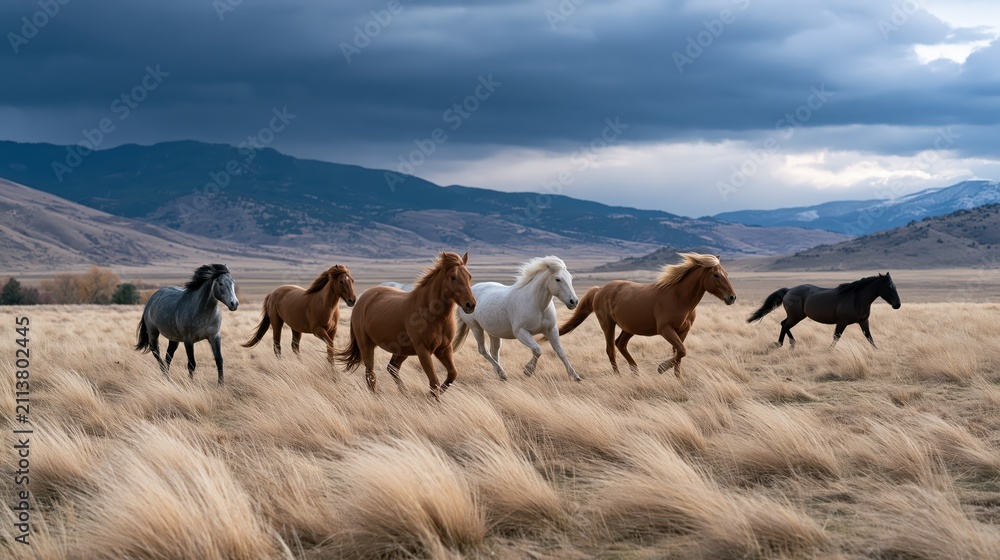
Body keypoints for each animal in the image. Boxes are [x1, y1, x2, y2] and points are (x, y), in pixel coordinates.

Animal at [337, 252, 477, 398]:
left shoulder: (444, 349)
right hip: (367, 345)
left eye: (469, 276)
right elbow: (434, 381)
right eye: (453, 277)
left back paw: (404, 392)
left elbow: (452, 374)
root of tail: (362, 299)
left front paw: (433, 396)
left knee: (392, 367)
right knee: (371, 374)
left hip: (403, 350)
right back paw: (376, 397)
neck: (431, 313)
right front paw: (433, 398)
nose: (470, 304)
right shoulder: (423, 350)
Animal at [453, 256, 582, 382]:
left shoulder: (551, 330)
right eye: (558, 279)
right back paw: (502, 373)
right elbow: (537, 350)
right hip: (476, 327)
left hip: (493, 332)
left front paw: (575, 376)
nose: (574, 301)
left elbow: (560, 352)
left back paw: (500, 375)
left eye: (570, 278)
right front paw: (528, 370)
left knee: (494, 352)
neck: (537, 305)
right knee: (483, 350)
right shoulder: (521, 332)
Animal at [559, 253, 737, 377]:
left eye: (727, 274)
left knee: (620, 344)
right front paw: (661, 368)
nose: (732, 297)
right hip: (608, 324)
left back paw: (636, 372)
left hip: (629, 327)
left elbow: (679, 353)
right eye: (716, 275)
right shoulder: (666, 330)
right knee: (611, 349)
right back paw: (619, 376)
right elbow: (681, 351)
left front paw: (678, 378)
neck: (679, 298)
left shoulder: (683, 331)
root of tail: (600, 289)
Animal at [746, 273, 901, 348]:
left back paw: (790, 343)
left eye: (895, 286)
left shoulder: (863, 321)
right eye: (889, 287)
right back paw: (781, 344)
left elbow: (869, 337)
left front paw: (876, 351)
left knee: (784, 324)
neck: (857, 299)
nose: (897, 305)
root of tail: (789, 290)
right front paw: (828, 351)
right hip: (796, 316)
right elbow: (836, 337)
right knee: (784, 325)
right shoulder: (842, 322)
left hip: (796, 316)